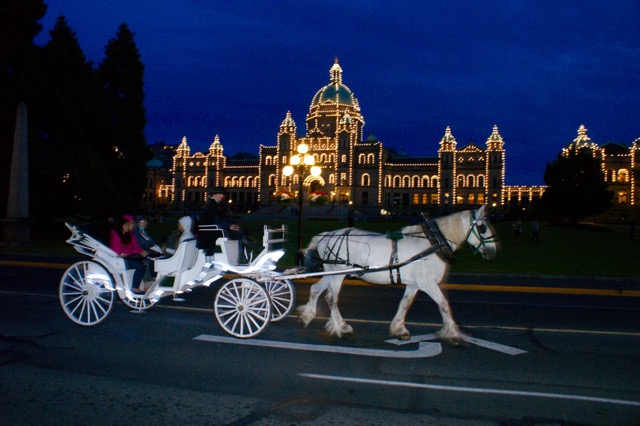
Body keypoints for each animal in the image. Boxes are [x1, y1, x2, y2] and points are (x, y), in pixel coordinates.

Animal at [298, 205, 498, 342]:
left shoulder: (414, 284)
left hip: (332, 272)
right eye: (482, 227)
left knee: (316, 289)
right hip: (338, 274)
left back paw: (307, 316)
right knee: (331, 297)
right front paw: (452, 333)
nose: (494, 251)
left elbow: (405, 304)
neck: (433, 243)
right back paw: (342, 328)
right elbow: (443, 304)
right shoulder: (428, 283)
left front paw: (399, 329)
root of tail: (326, 235)